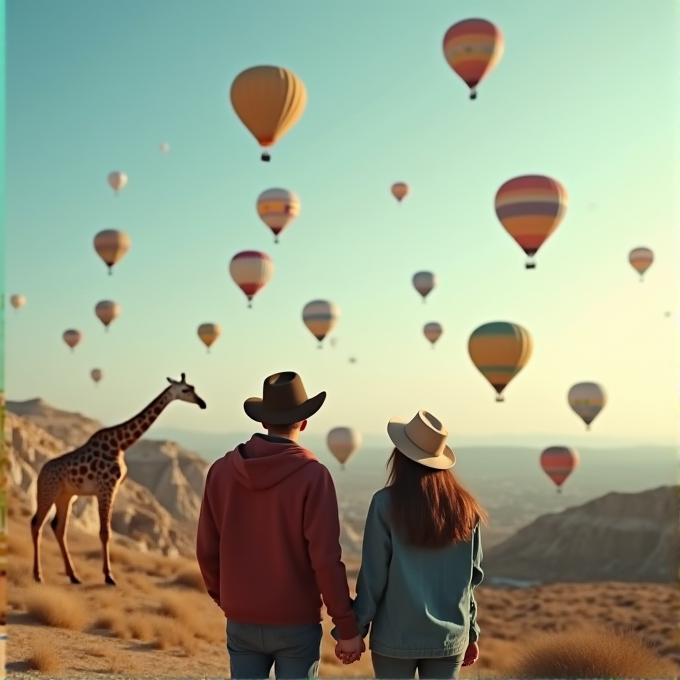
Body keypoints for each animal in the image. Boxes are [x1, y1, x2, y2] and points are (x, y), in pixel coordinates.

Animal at [31, 372, 207, 584]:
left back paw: (73, 576)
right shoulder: (106, 486)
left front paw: (107, 574)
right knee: (36, 524)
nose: (202, 403)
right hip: (48, 492)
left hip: (65, 496)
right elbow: (105, 532)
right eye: (185, 390)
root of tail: (41, 473)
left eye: (193, 387)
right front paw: (109, 577)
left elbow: (105, 531)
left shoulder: (112, 488)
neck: (120, 444)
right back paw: (38, 575)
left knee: (58, 528)